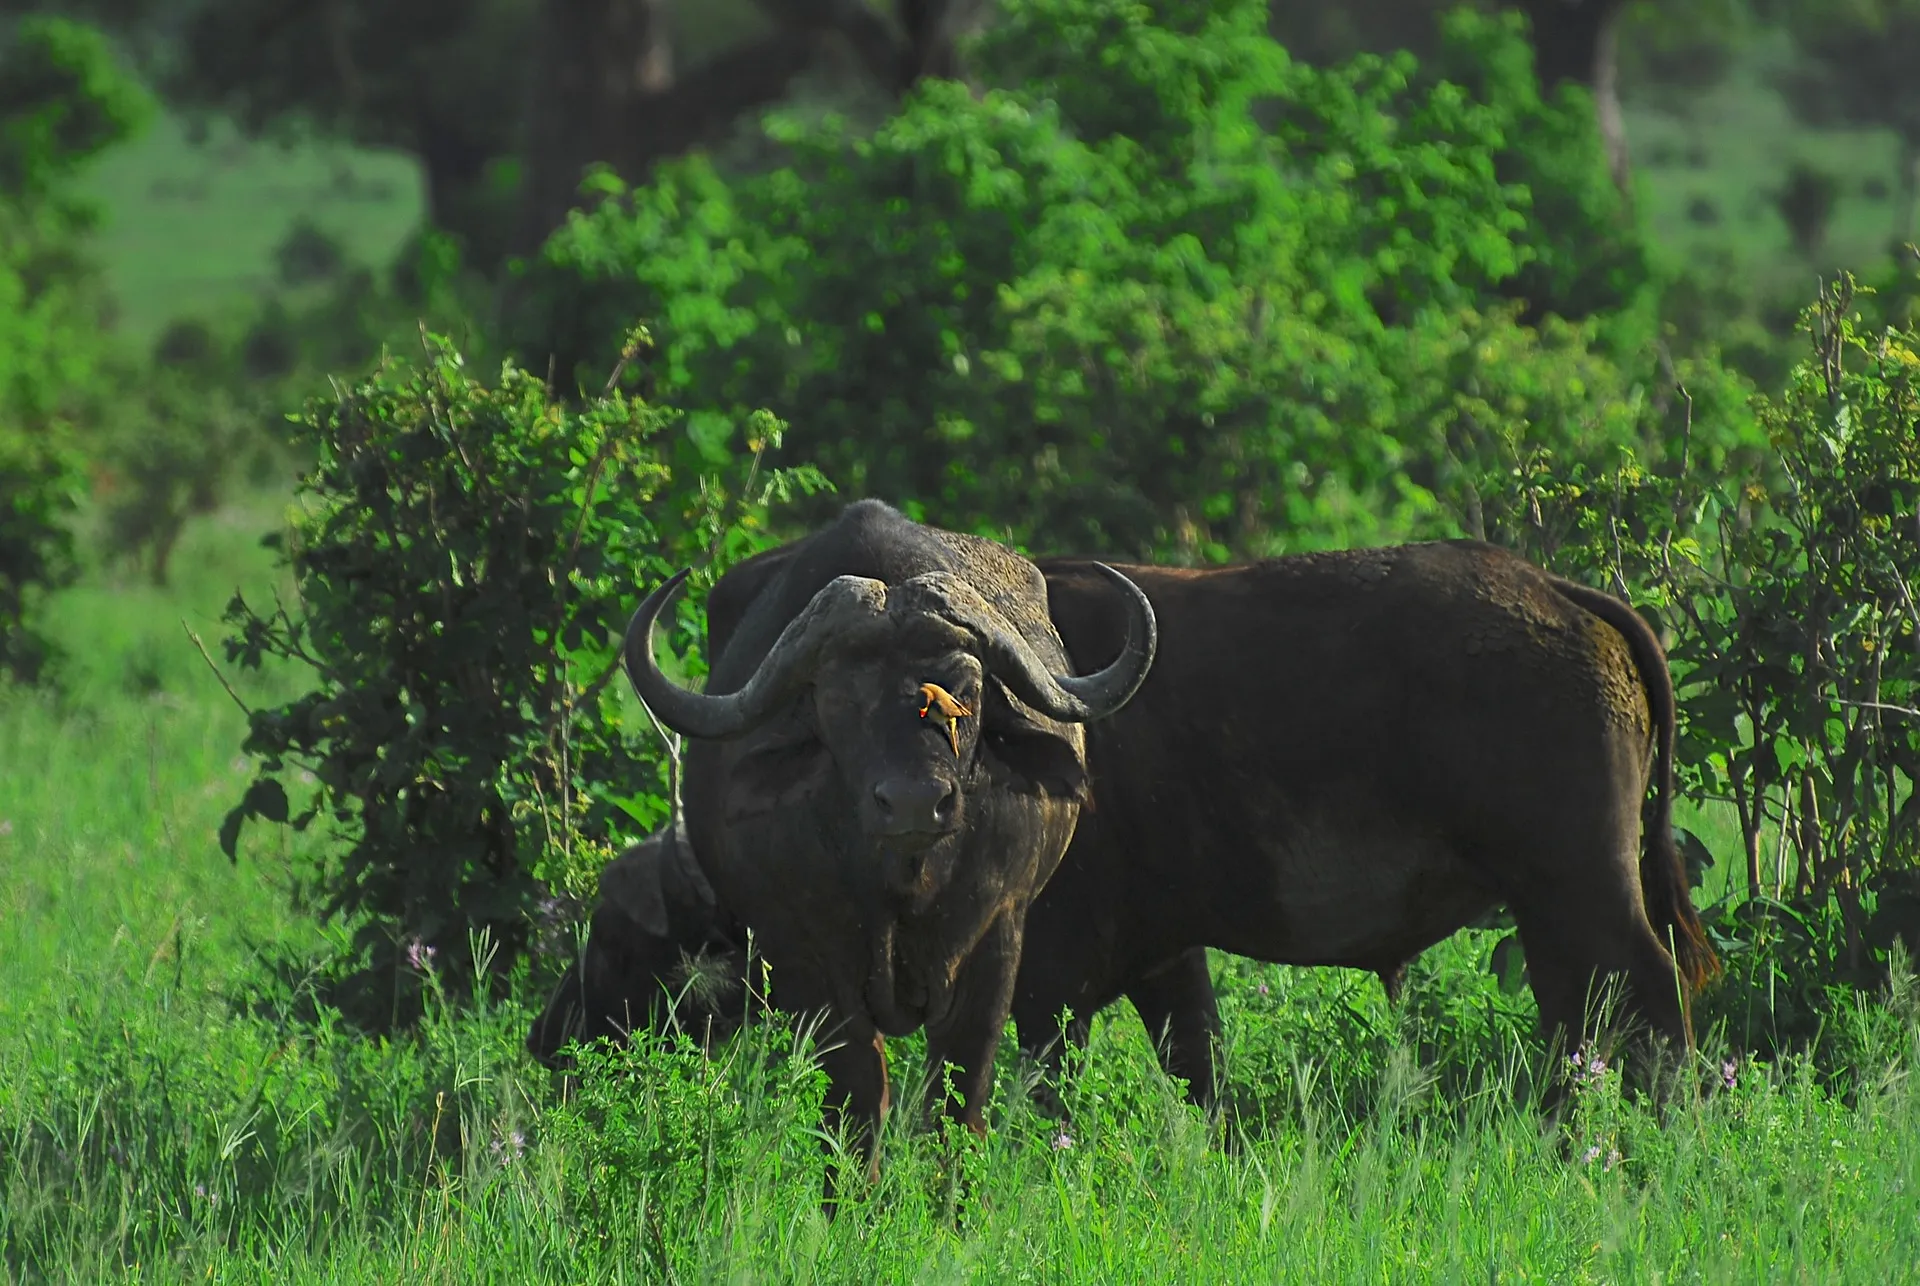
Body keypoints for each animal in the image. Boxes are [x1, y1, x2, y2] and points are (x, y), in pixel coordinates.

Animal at [622, 502, 1152, 1182]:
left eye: (966, 688)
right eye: (839, 700)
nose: (913, 803)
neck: (907, 880)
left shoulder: (997, 940)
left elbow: (959, 1101)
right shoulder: (809, 957)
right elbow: (856, 1100)